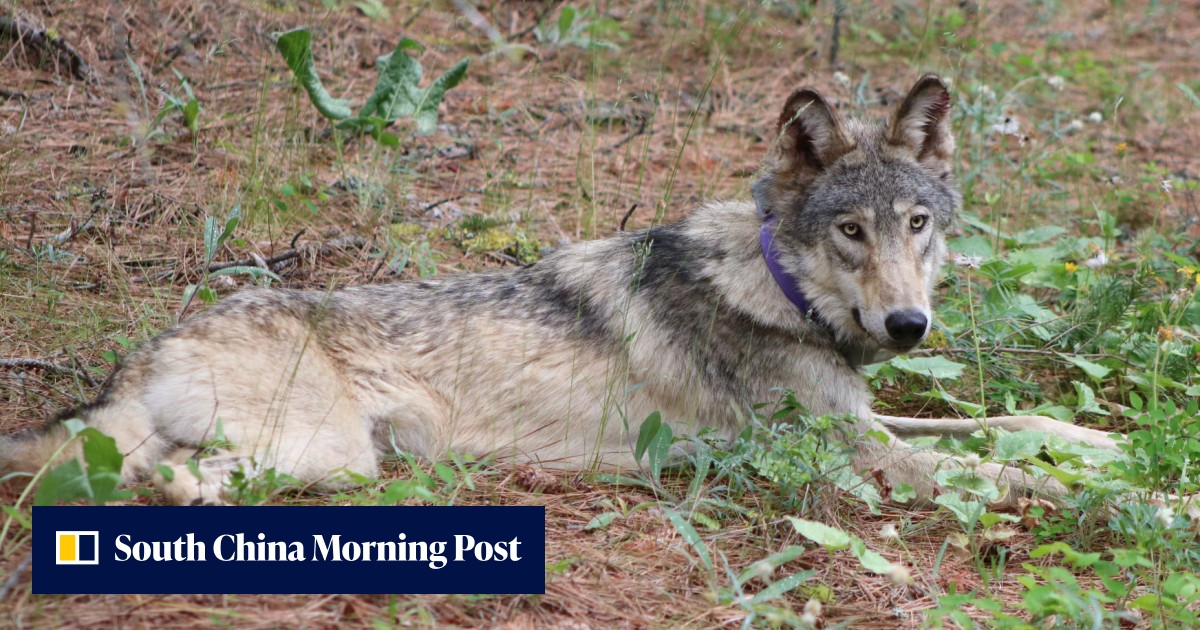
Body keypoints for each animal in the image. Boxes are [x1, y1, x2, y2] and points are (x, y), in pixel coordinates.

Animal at [1, 74, 1119, 506]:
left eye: (916, 225)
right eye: (852, 232)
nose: (908, 323)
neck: (773, 289)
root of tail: (142, 354)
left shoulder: (870, 426)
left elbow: (1015, 426)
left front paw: (1106, 447)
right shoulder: (853, 457)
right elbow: (1007, 474)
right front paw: (1145, 497)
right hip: (330, 455)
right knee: (164, 482)